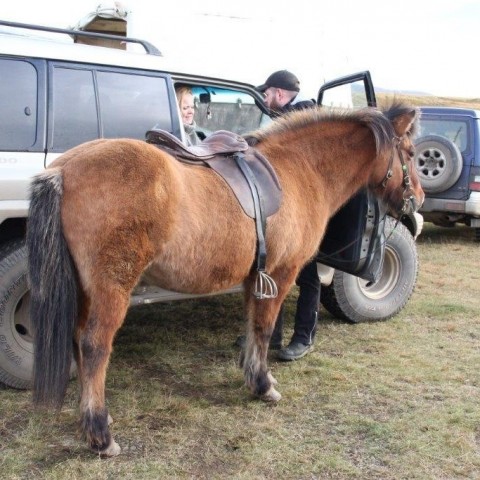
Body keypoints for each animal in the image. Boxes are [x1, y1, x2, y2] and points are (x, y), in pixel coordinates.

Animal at [26, 100, 424, 454]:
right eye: (409, 151)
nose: (417, 199)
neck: (300, 169)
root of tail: (63, 169)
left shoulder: (254, 278)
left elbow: (252, 327)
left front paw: (253, 375)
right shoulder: (282, 273)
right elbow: (264, 328)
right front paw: (263, 386)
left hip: (84, 290)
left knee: (78, 340)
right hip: (111, 289)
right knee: (95, 346)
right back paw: (100, 435)